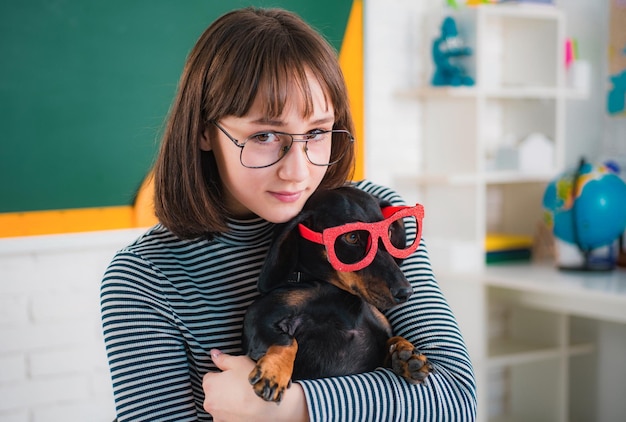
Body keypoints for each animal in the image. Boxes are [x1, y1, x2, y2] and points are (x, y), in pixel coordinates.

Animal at [239, 187, 428, 402]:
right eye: (351, 237)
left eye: (388, 231)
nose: (406, 292)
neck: (342, 297)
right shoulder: (259, 315)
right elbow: (287, 341)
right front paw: (274, 372)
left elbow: (392, 340)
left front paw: (407, 355)